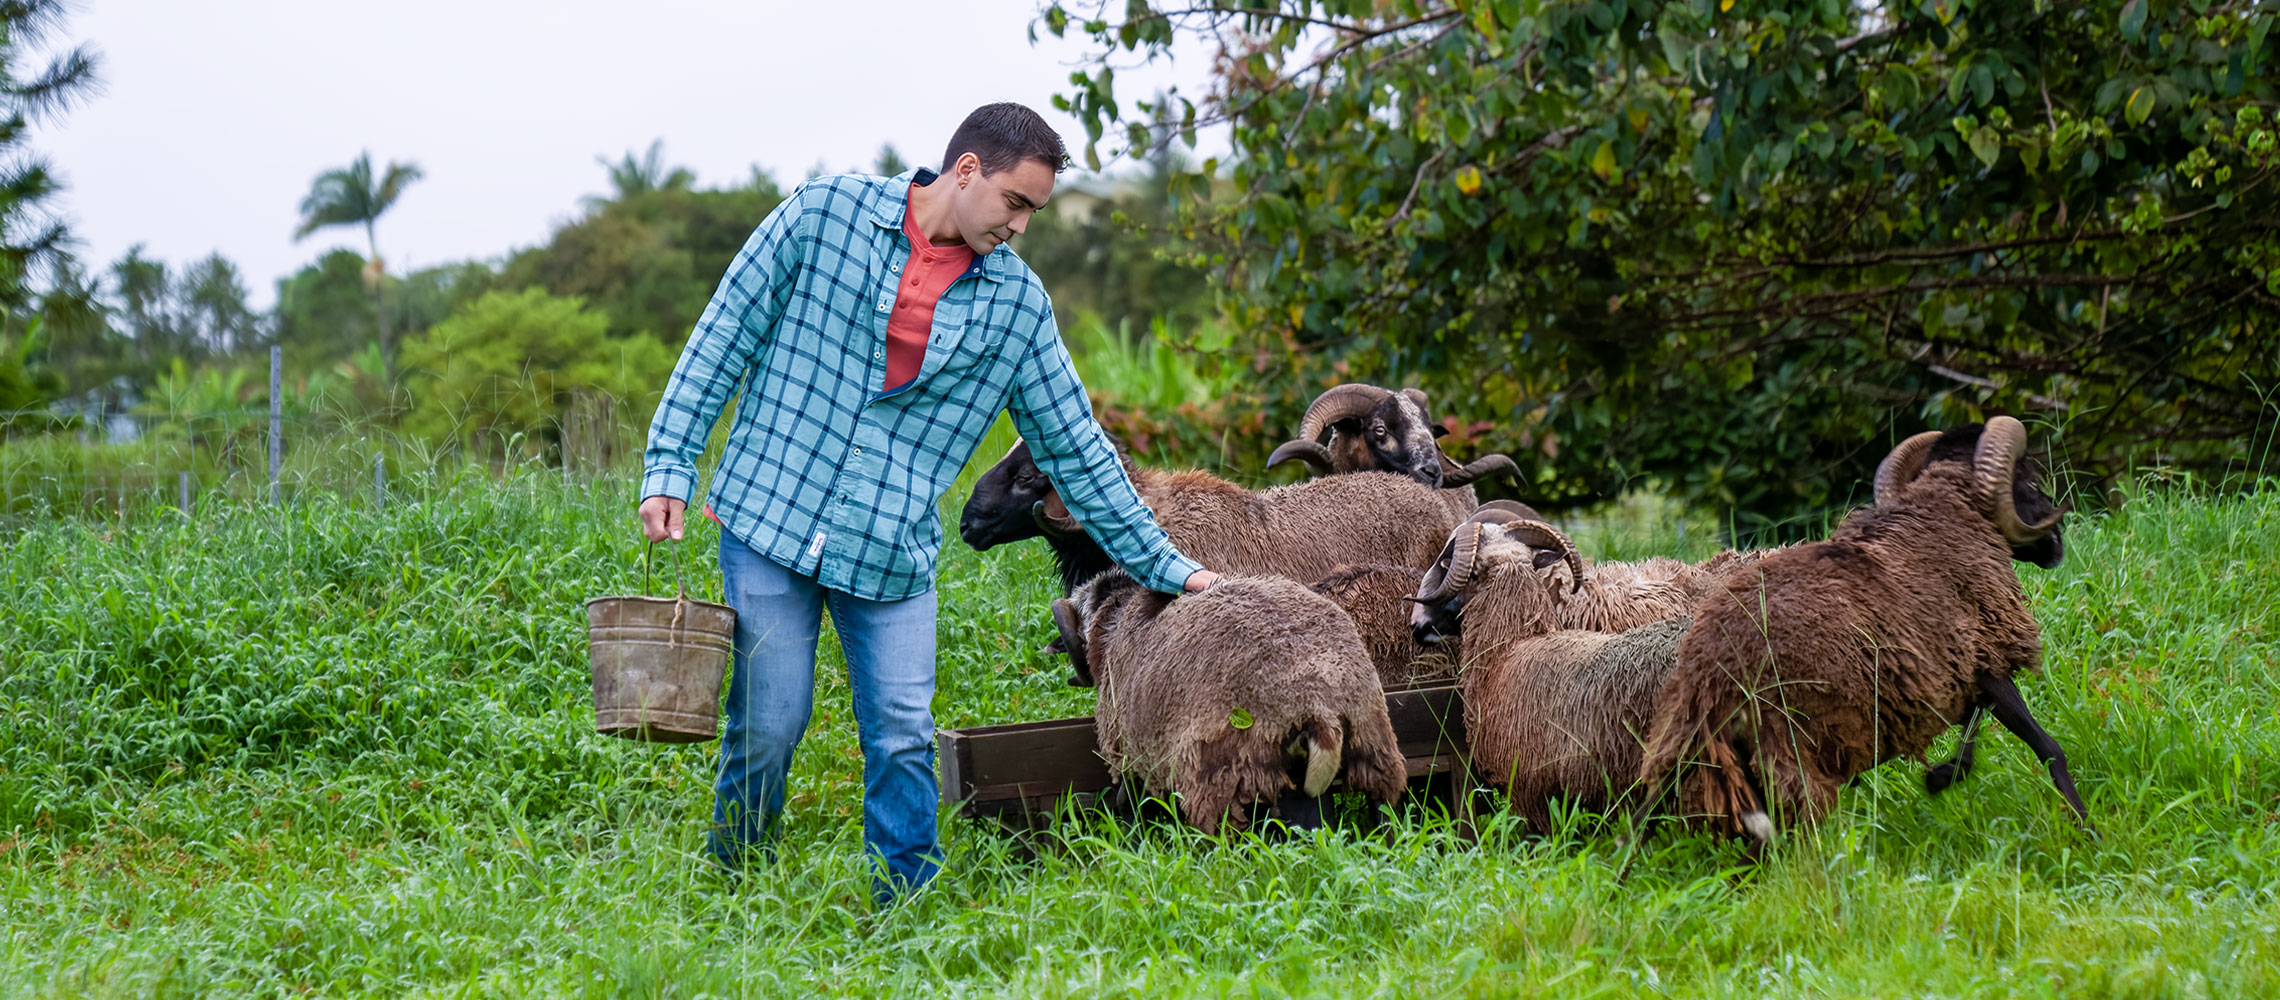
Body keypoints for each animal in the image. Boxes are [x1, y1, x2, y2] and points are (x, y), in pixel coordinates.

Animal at [1048, 571, 1404, 838]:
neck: (1112, 620)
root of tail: (1320, 705)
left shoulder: (1130, 752)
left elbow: (1128, 804)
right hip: (1373, 751)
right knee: (1373, 814)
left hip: (1227, 772)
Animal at [1632, 419, 2088, 847]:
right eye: (2027, 480)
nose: (2057, 542)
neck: (1948, 513)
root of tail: (1713, 671)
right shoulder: (1982, 655)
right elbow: (2047, 748)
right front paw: (2088, 829)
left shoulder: (1957, 666)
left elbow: (1976, 719)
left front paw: (1944, 774)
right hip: (1791, 746)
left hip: (1692, 746)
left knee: (1647, 812)